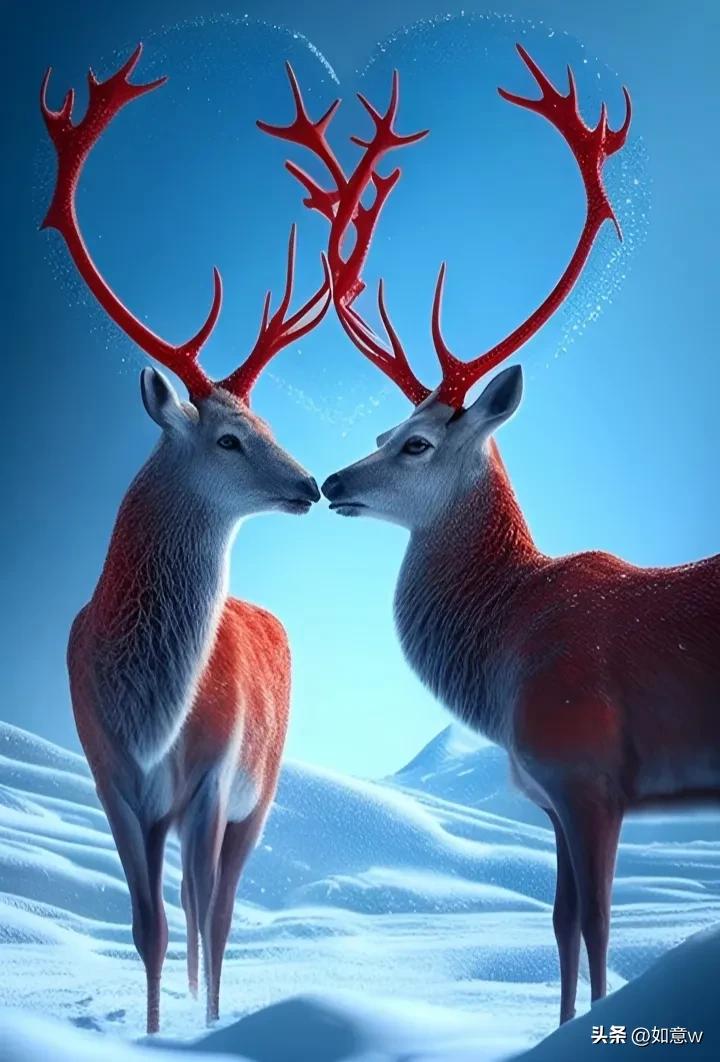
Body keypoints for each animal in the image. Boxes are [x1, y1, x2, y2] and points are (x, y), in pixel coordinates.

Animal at [39, 45, 341, 1034]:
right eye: (229, 438)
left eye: (266, 420)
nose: (310, 484)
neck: (148, 711)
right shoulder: (108, 774)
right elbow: (148, 926)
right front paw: (150, 1031)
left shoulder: (213, 777)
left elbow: (203, 917)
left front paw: (198, 1031)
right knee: (187, 906)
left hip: (265, 785)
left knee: (224, 906)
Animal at [264, 45, 720, 1026]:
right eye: (379, 429)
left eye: (417, 442)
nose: (331, 483)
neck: (508, 643)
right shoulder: (545, 795)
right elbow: (558, 930)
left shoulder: (586, 771)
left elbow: (596, 932)